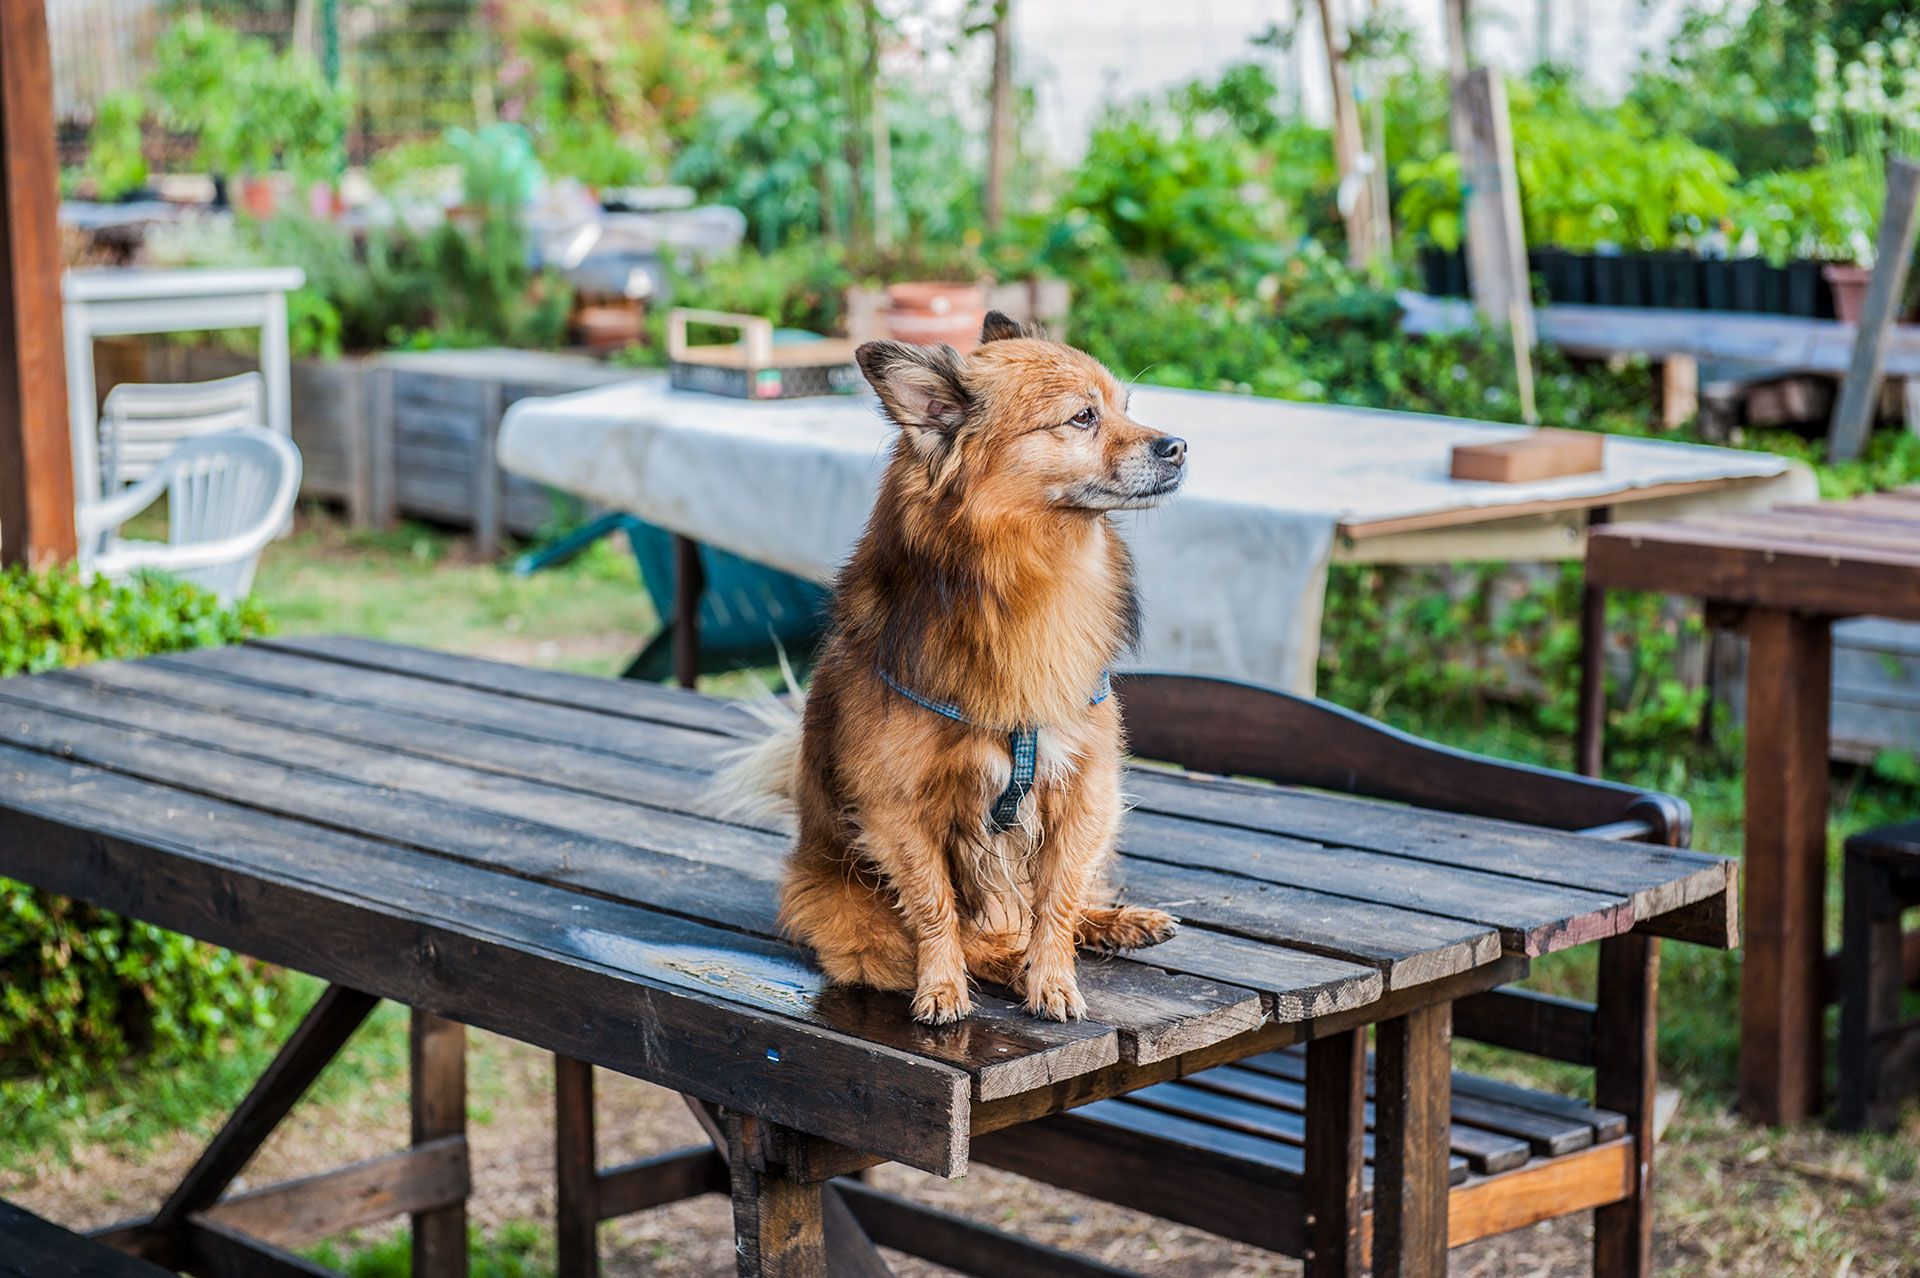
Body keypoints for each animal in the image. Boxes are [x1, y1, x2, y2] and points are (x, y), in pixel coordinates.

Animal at [721, 310, 1182, 1028]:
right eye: (1082, 417)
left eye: (1125, 408)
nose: (1178, 446)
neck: (1027, 577)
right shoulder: (898, 809)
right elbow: (935, 907)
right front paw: (944, 987)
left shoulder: (1087, 784)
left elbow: (1057, 898)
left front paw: (1054, 978)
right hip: (852, 917)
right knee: (963, 939)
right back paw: (1000, 964)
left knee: (1065, 900)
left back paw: (1113, 923)